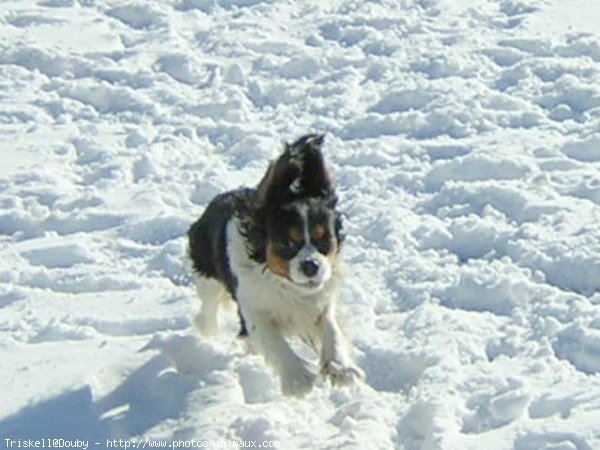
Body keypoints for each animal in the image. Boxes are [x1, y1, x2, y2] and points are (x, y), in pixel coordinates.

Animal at [190, 134, 364, 398]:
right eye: (287, 243)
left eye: (325, 240)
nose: (311, 266)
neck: (287, 286)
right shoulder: (252, 308)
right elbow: (273, 341)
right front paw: (297, 379)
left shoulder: (322, 303)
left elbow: (331, 329)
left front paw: (340, 368)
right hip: (206, 275)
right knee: (208, 309)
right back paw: (207, 332)